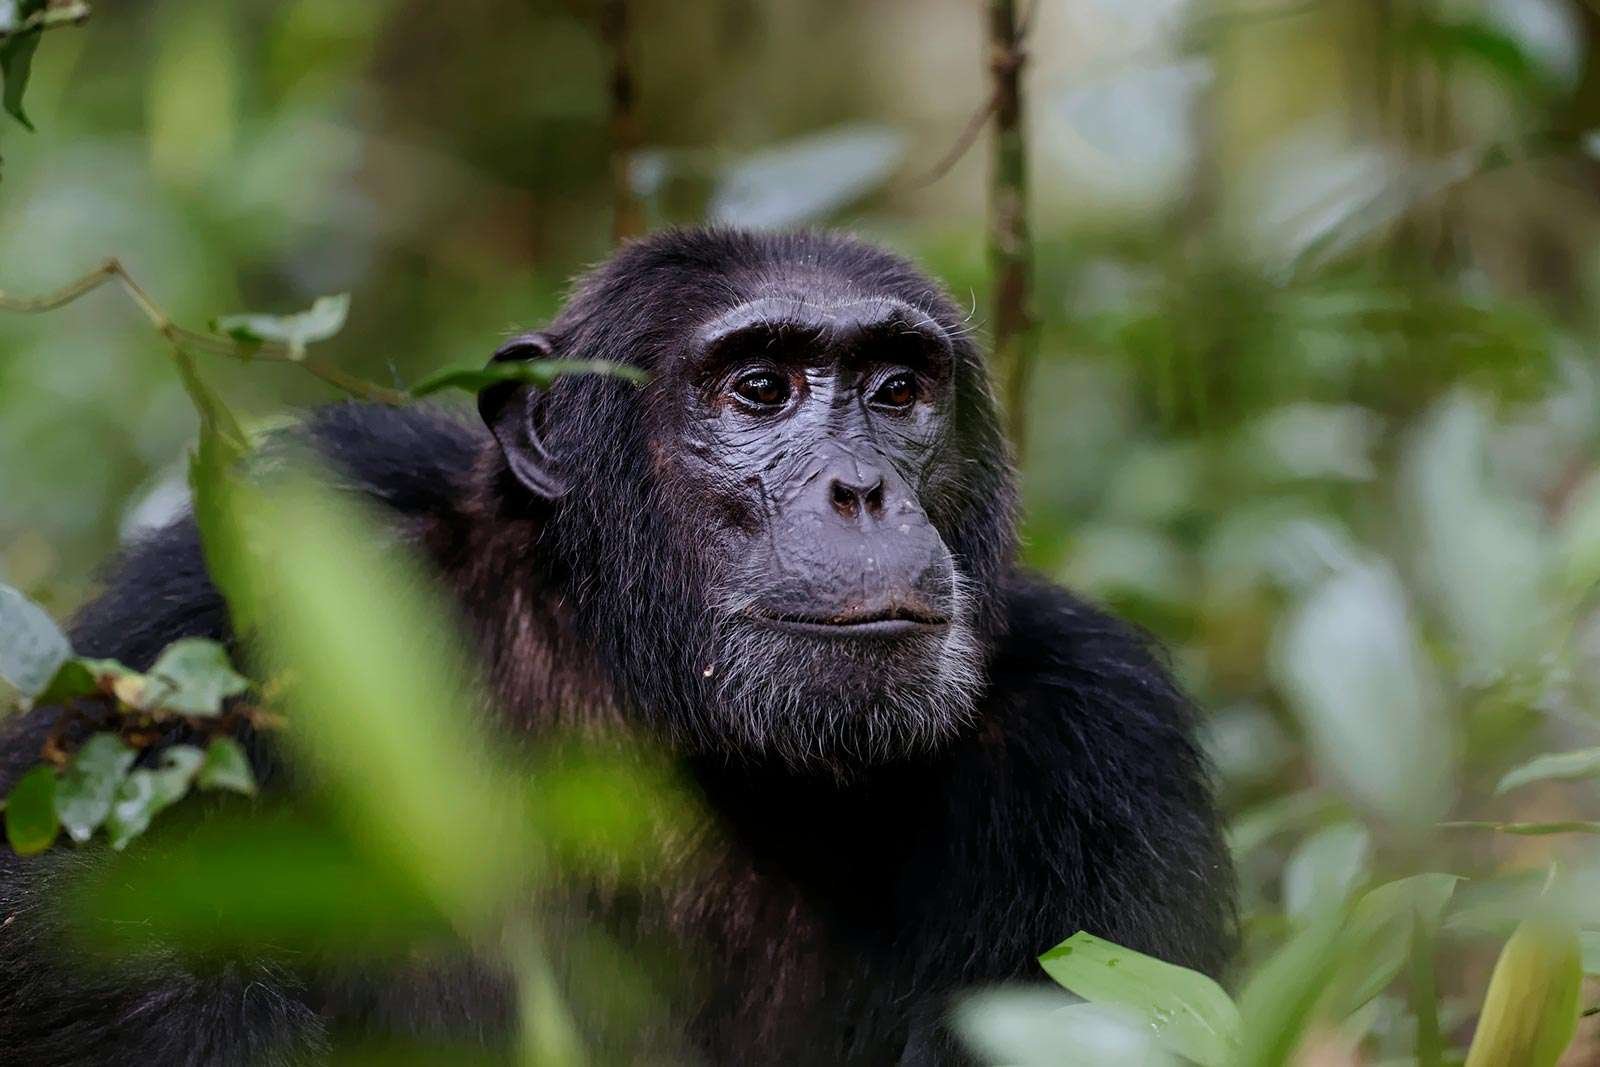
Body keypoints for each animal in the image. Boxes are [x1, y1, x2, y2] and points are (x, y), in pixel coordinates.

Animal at [0, 230, 1235, 1062]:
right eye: (759, 388)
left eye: (897, 391)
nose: (861, 488)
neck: (639, 680)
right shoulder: (243, 587)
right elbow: (62, 904)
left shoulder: (1096, 736)